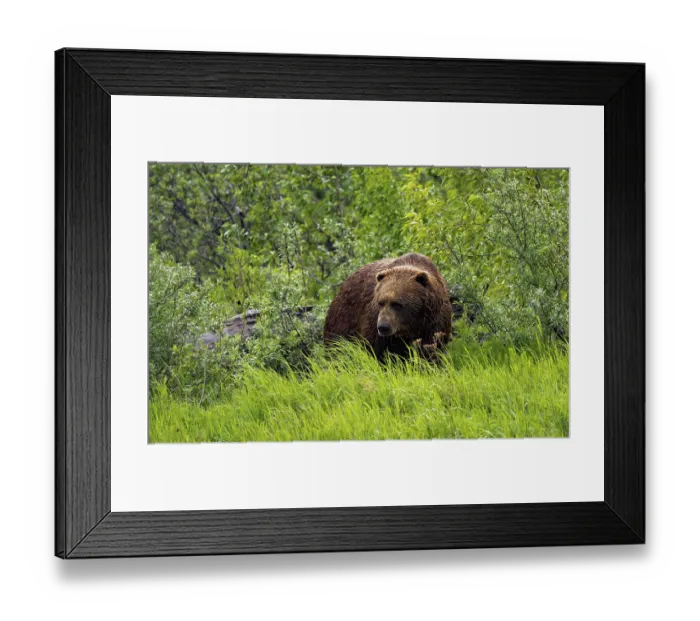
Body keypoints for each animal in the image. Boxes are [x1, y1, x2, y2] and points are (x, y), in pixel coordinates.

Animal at [323, 253, 452, 360]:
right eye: (380, 302)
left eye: (397, 304)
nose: (383, 327)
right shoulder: (374, 322)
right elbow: (375, 350)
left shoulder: (433, 321)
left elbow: (431, 348)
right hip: (343, 319)